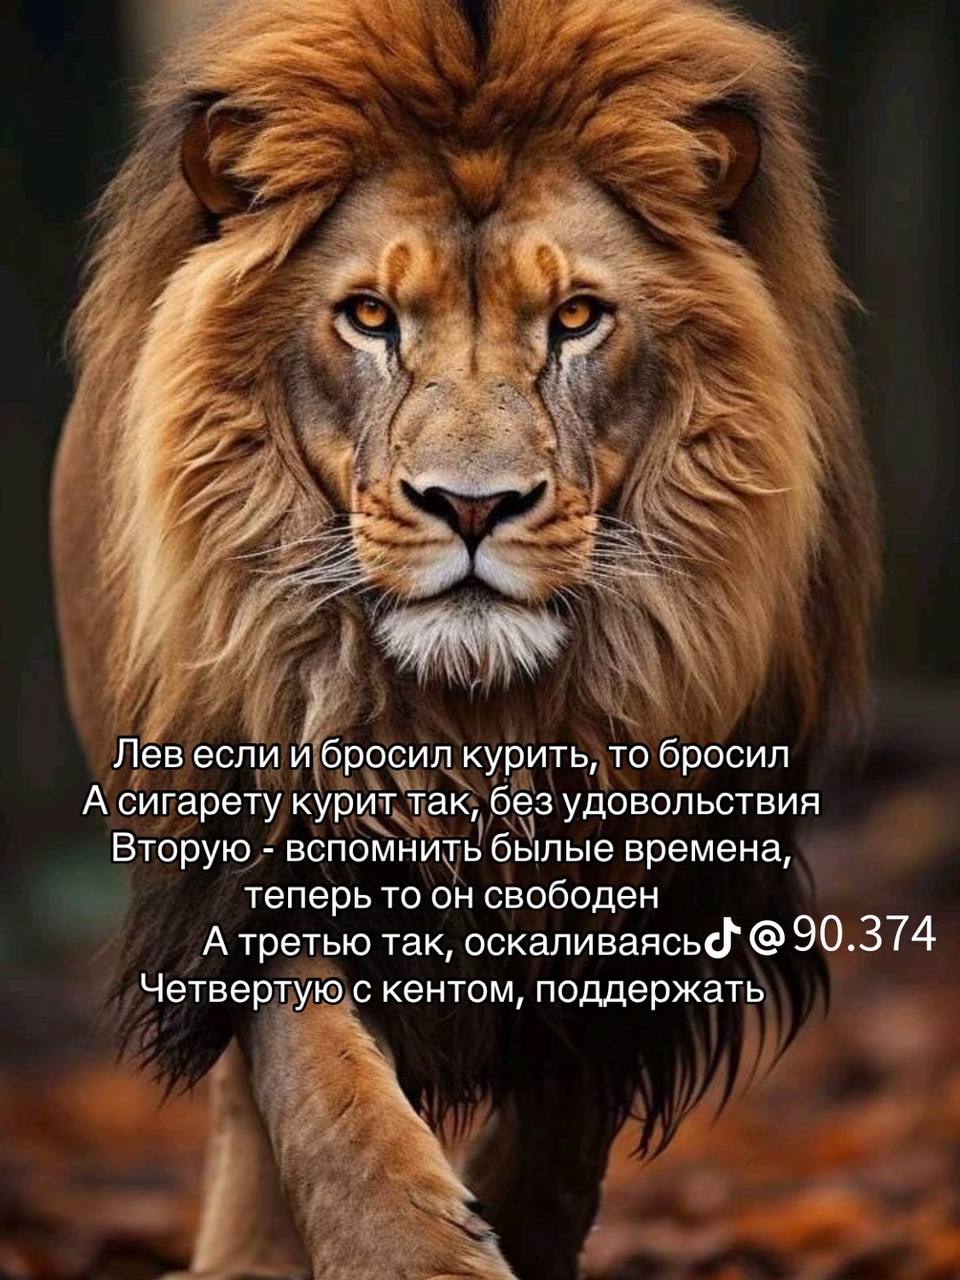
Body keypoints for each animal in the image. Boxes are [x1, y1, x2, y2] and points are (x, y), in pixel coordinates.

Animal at [52, 0, 878, 1277]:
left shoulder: (652, 875)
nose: (474, 505)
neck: (480, 722)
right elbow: (327, 1101)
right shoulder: (266, 850)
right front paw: (414, 1250)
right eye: (370, 316)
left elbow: (557, 1139)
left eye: (576, 318)